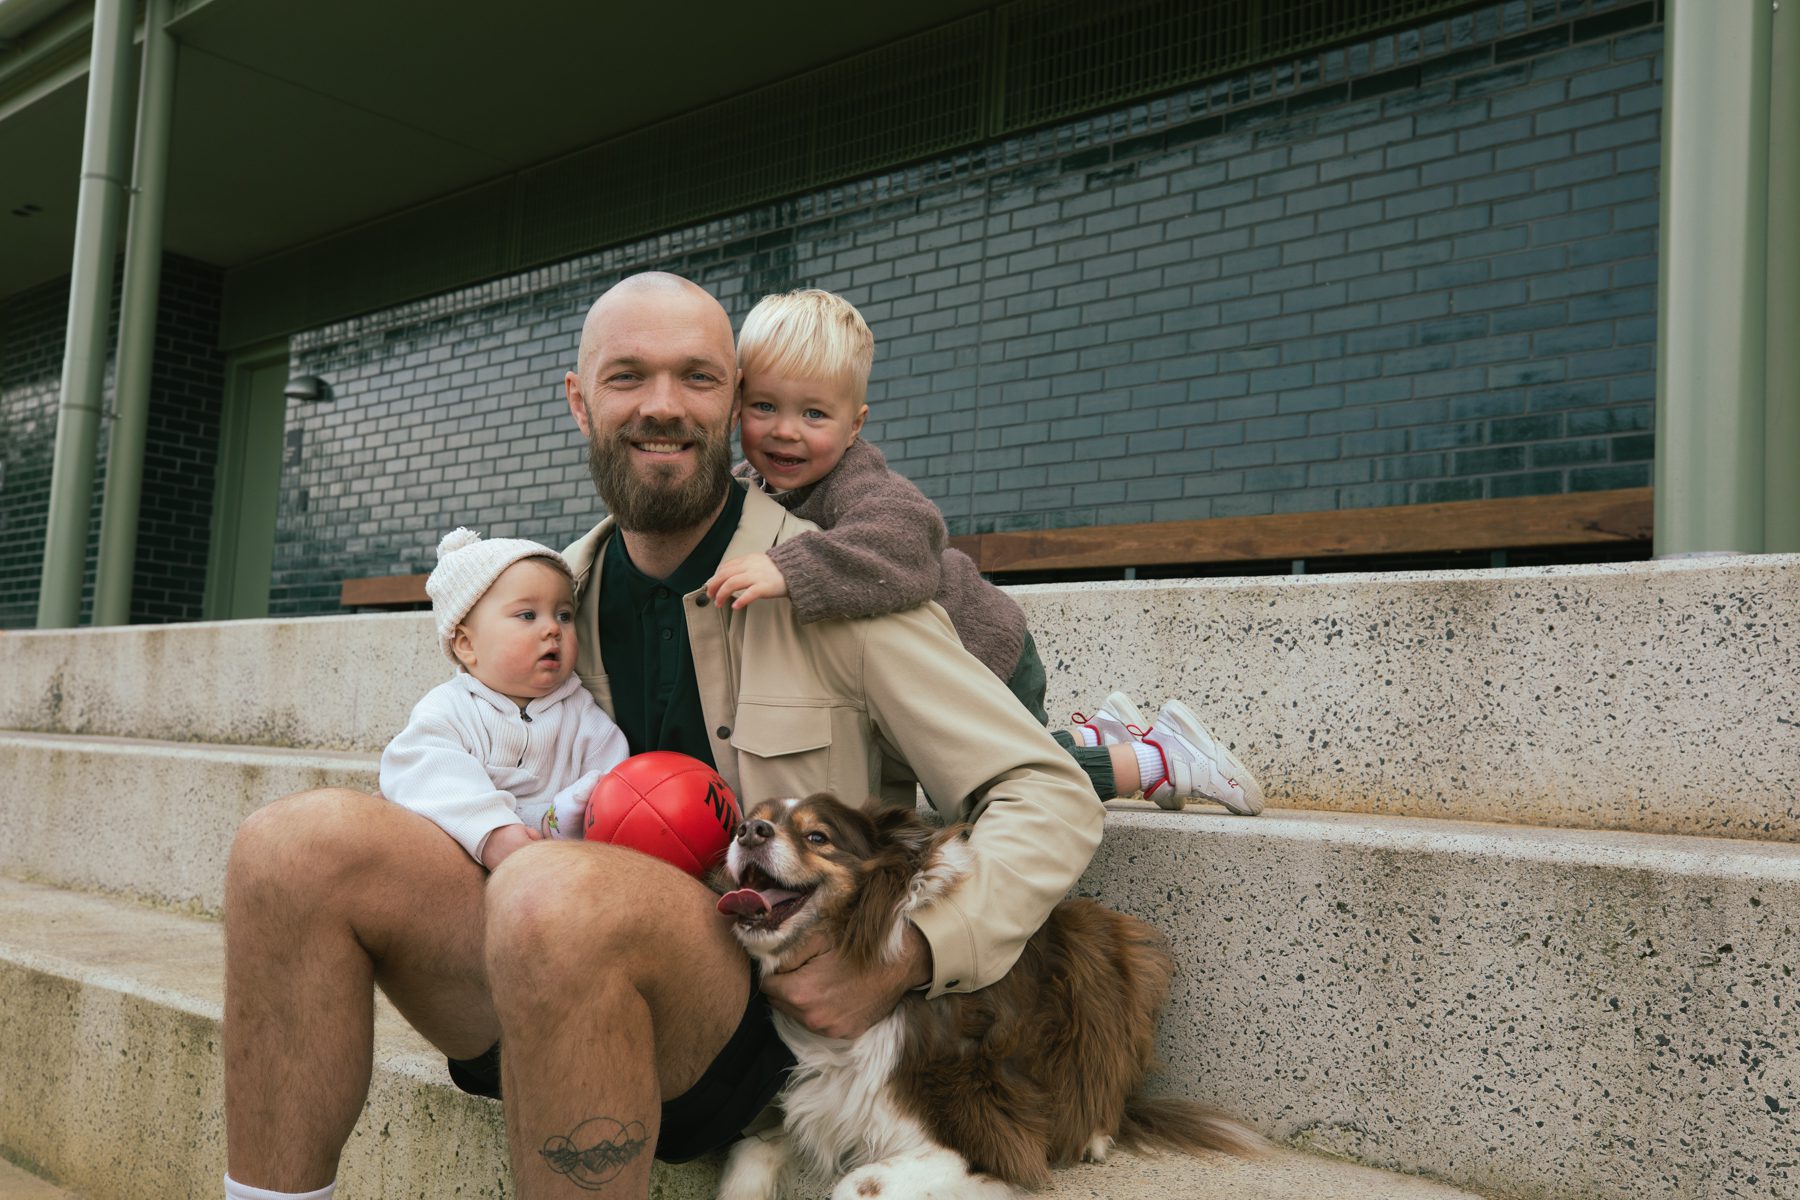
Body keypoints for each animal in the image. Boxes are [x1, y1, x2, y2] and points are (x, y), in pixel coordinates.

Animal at [709, 791, 1260, 1194]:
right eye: (753, 818)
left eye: (817, 836)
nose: (748, 830)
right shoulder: (821, 1099)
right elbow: (750, 1147)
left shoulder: (986, 1137)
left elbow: (856, 1185)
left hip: (1106, 941)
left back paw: (1094, 1137)